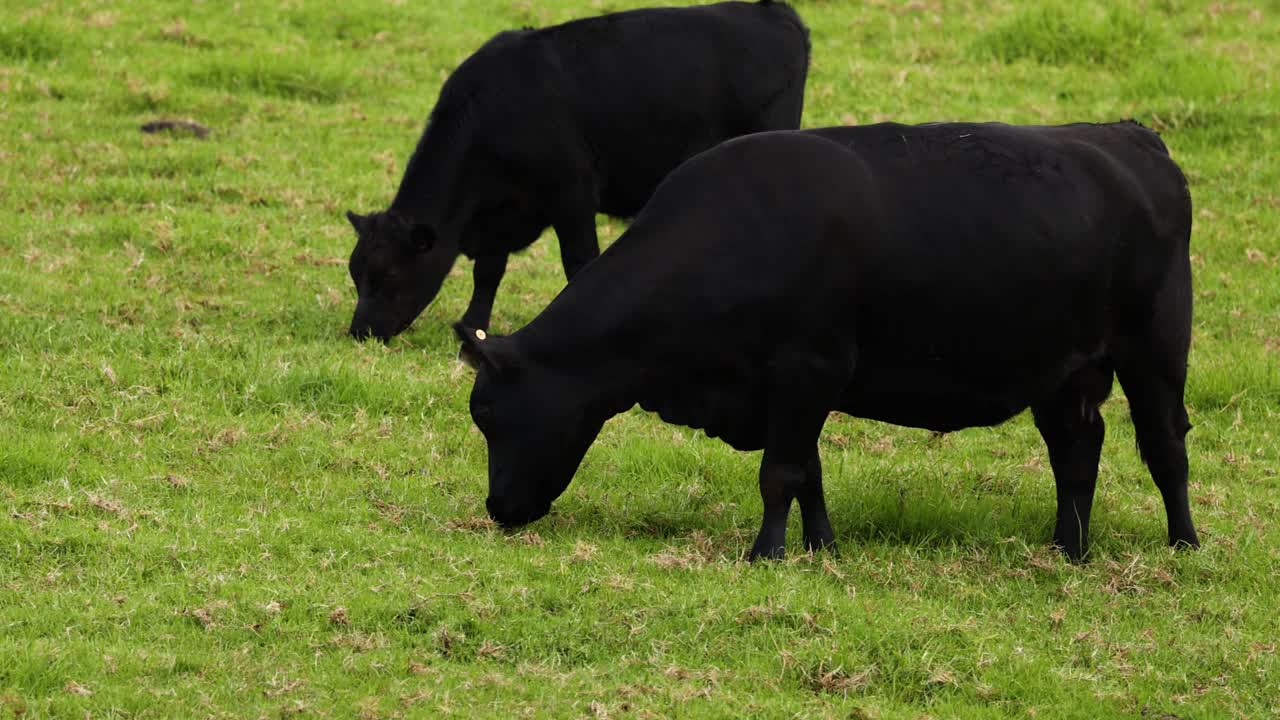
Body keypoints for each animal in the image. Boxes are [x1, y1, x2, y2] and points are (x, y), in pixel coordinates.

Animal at [345, 0, 803, 340]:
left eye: (390, 275)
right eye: (355, 274)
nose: (359, 332)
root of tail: (774, 13)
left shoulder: (573, 195)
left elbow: (579, 263)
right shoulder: (499, 212)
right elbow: (488, 271)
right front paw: (473, 327)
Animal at [453, 119, 1198, 561]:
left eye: (486, 413)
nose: (498, 508)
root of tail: (1130, 136)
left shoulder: (807, 367)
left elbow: (780, 471)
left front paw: (766, 554)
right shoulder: (790, 388)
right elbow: (807, 470)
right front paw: (820, 547)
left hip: (1155, 348)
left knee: (1164, 446)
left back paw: (1183, 543)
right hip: (1065, 371)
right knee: (1077, 449)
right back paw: (1067, 548)